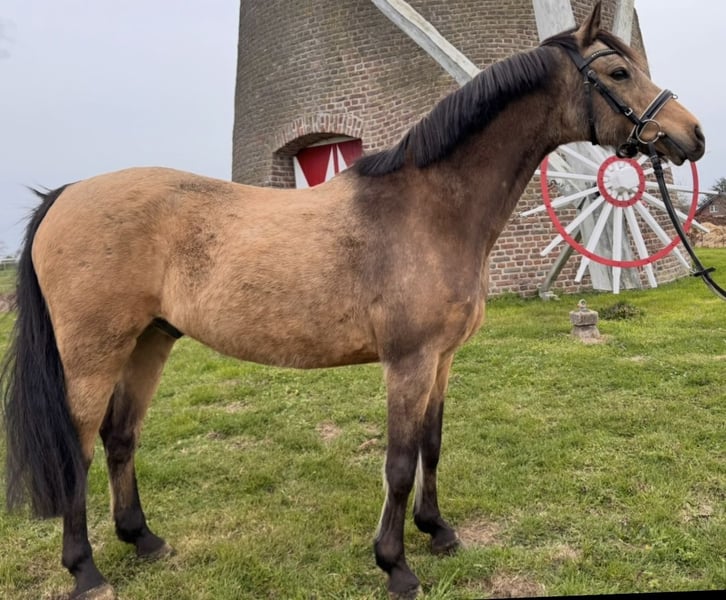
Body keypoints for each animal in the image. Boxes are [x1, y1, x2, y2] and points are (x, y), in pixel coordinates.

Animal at [1, 3, 705, 599]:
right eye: (618, 72)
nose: (692, 135)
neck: (430, 207)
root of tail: (67, 193)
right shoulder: (408, 362)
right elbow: (397, 462)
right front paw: (396, 566)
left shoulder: (442, 360)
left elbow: (431, 446)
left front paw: (439, 532)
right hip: (93, 356)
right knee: (78, 448)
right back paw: (86, 571)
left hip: (150, 340)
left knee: (120, 438)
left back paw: (143, 540)